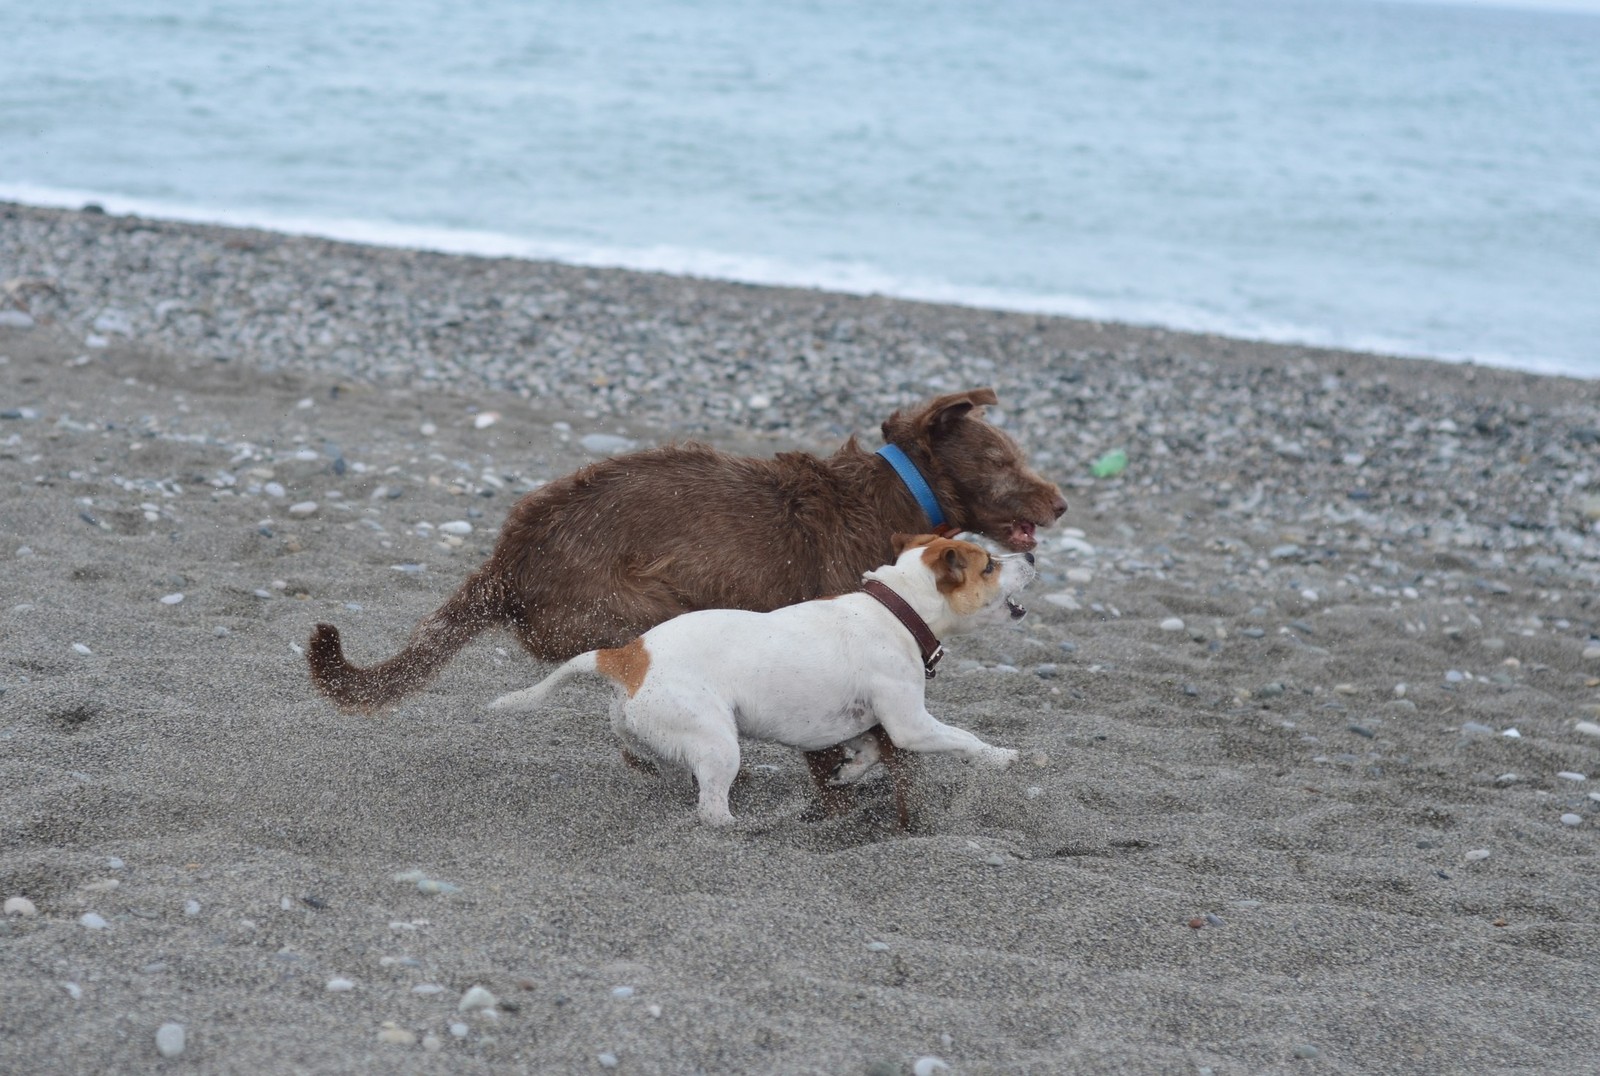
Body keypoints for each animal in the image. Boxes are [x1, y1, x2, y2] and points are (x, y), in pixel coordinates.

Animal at [486, 534, 1036, 826]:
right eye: (989, 564)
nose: (1031, 557)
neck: (896, 608)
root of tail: (626, 656)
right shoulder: (912, 725)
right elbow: (965, 739)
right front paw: (1004, 758)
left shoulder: (871, 721)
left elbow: (868, 751)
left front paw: (848, 772)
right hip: (718, 742)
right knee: (711, 808)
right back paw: (746, 827)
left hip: (659, 738)